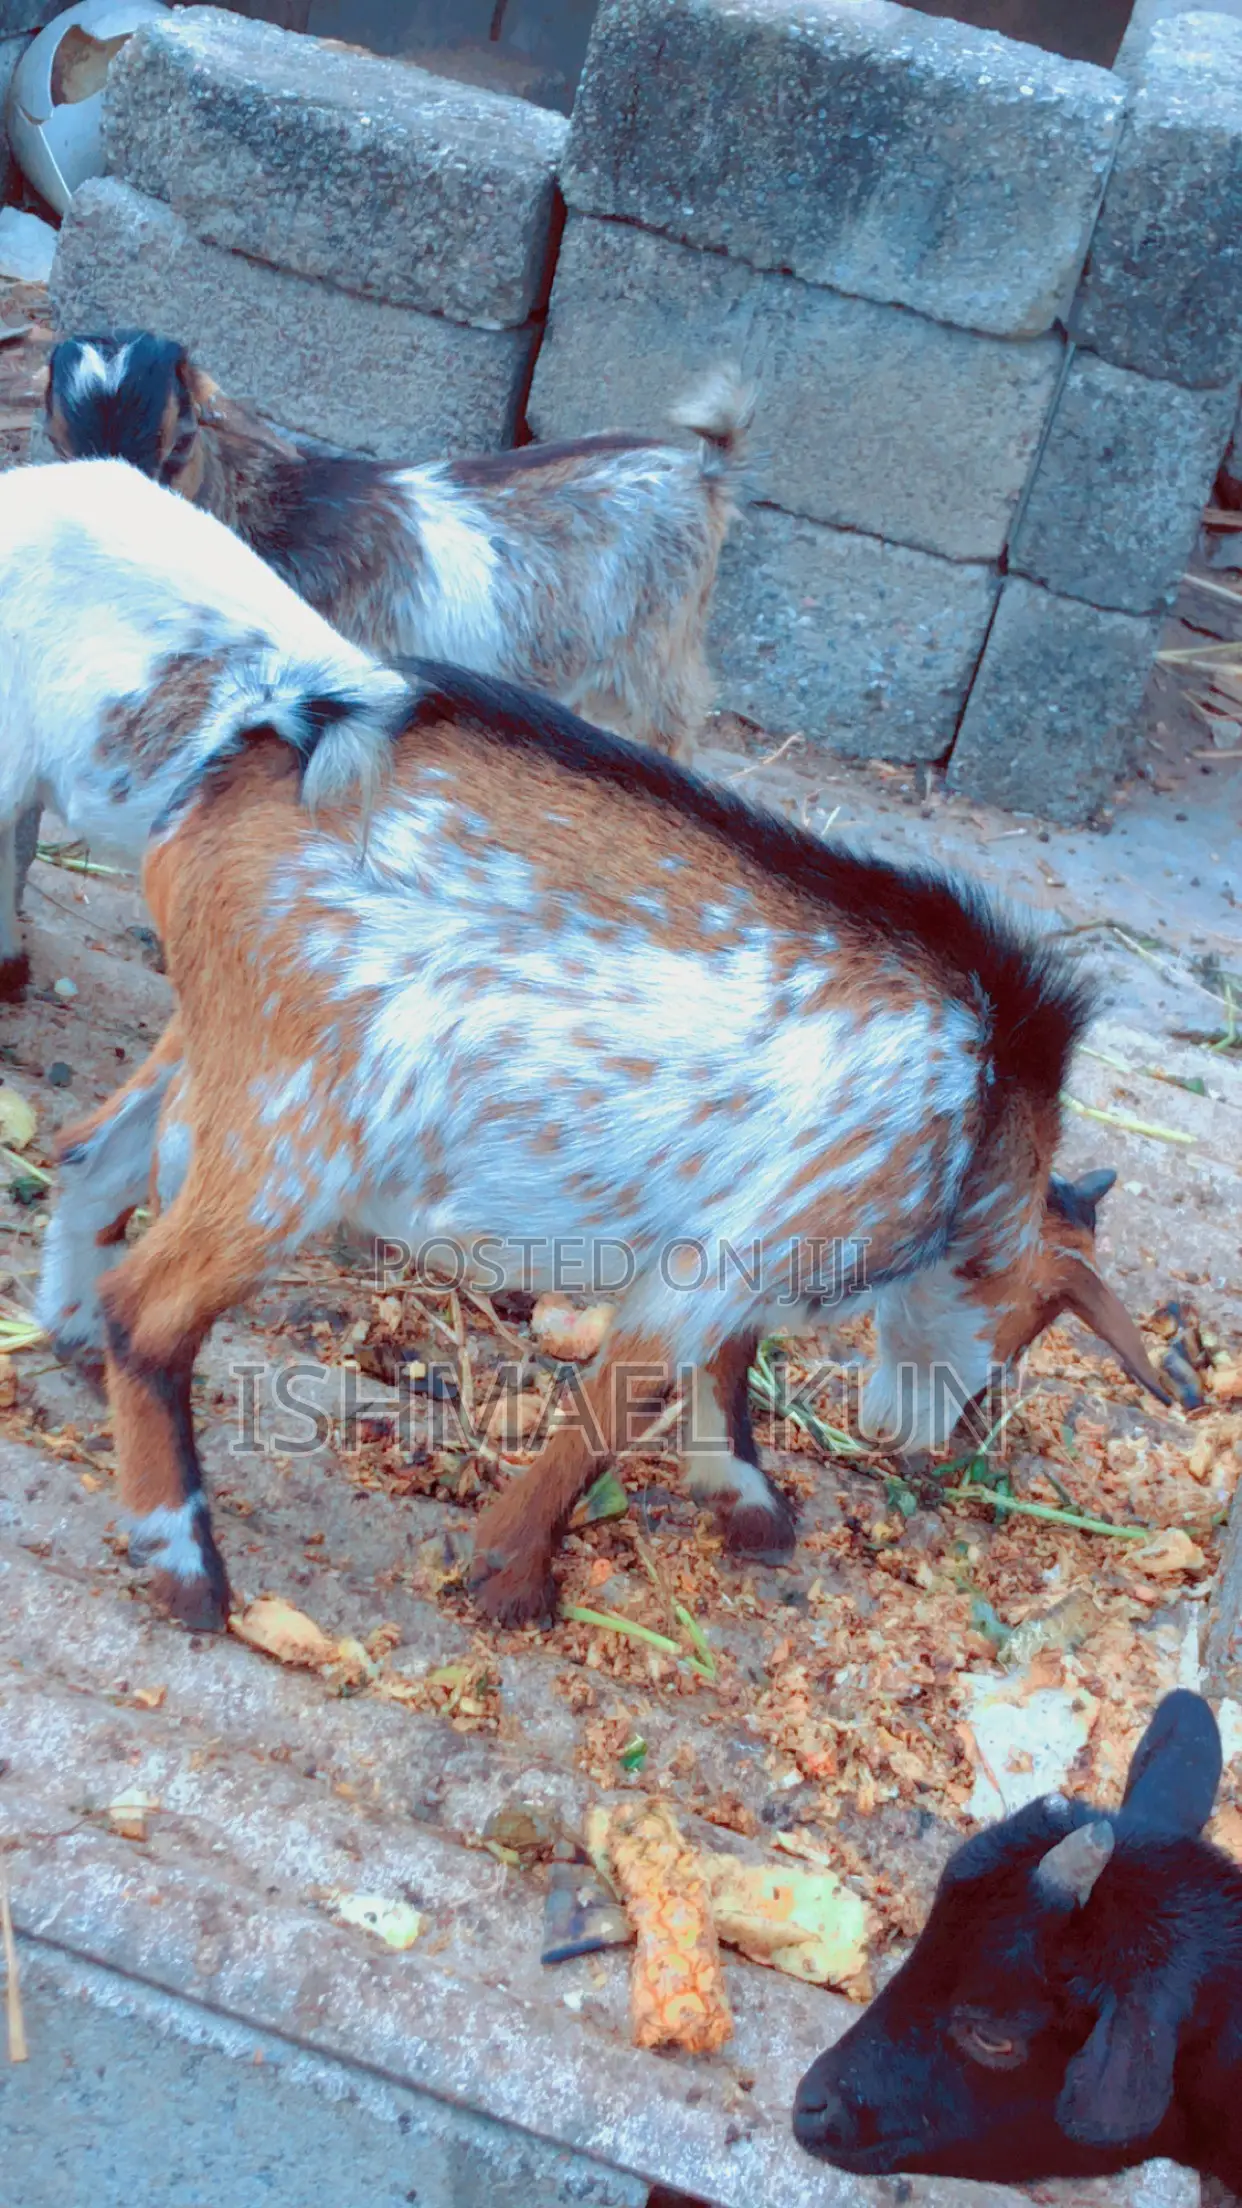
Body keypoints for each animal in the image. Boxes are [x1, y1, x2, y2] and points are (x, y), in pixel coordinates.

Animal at [36, 660, 1170, 1633]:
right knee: (154, 1308)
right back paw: (186, 1567)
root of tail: (246, 763)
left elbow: (729, 1371)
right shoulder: (766, 1233)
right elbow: (629, 1399)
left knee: (91, 1156)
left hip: (218, 1050)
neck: (977, 1111)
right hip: (300, 1127)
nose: (935, 1445)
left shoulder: (739, 1235)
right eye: (1028, 1322)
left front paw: (749, 1507)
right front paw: (510, 1578)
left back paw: (73, 1347)